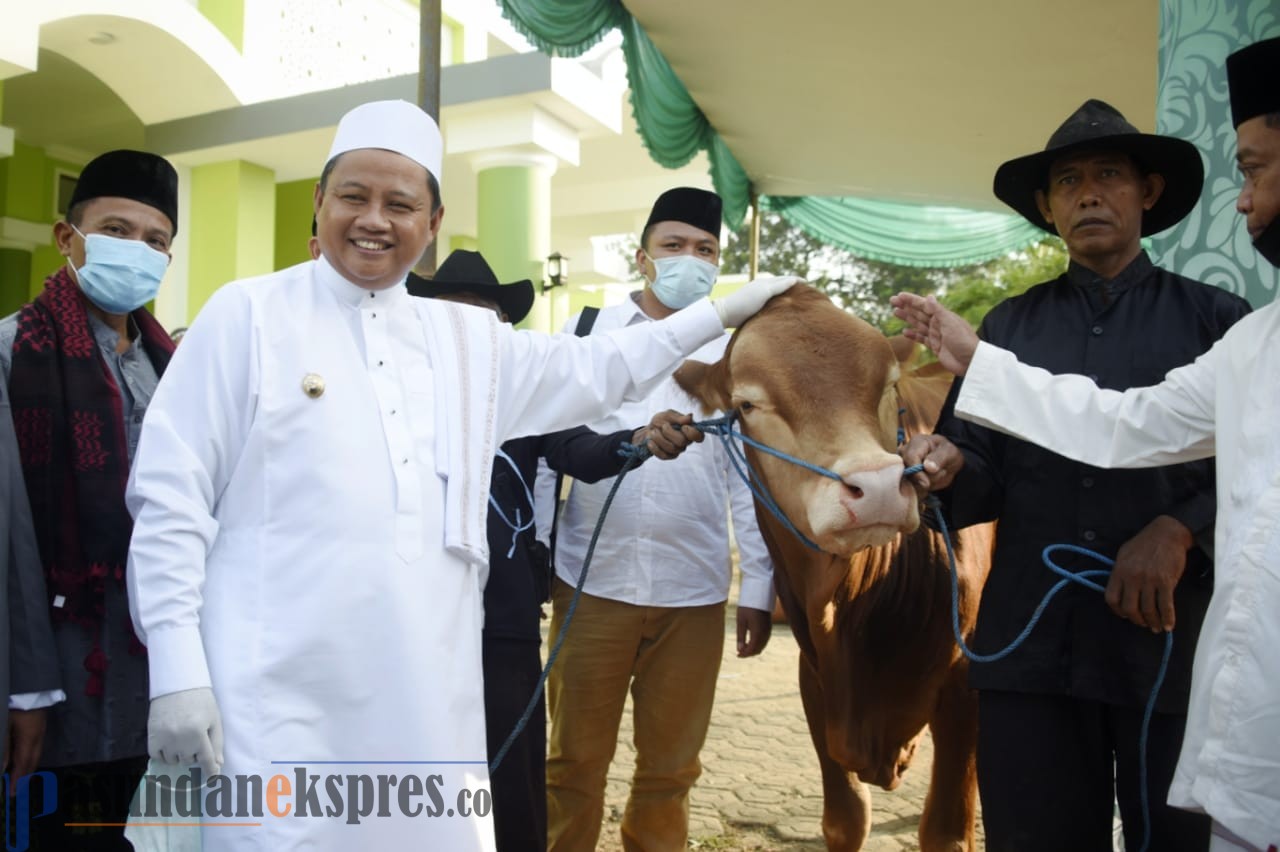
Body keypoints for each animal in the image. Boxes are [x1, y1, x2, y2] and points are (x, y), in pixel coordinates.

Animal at [680, 285, 988, 849]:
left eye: (889, 386)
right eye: (747, 404)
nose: (879, 488)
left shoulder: (968, 683)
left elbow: (946, 832)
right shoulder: (815, 681)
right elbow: (845, 820)